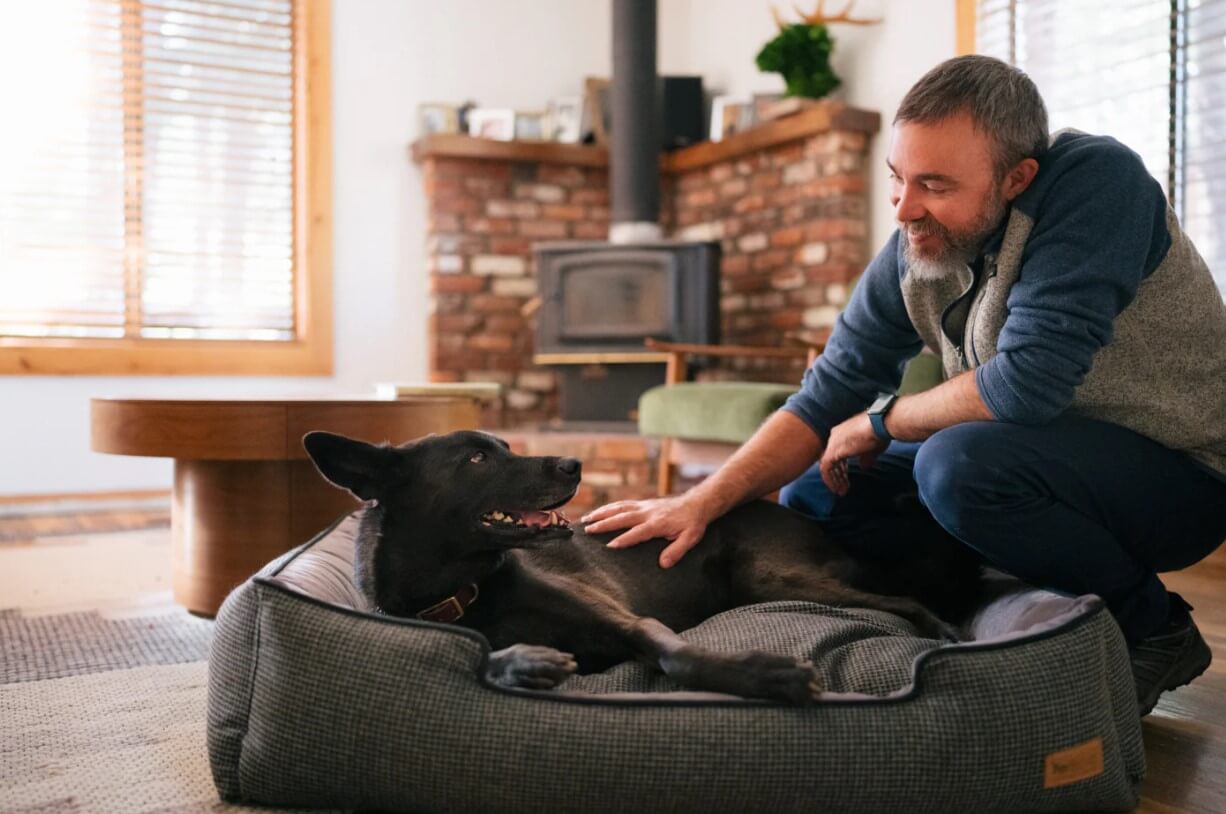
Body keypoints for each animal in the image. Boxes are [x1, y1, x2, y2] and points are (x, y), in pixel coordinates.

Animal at [301, 429, 980, 701]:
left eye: (503, 445)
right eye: (475, 458)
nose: (574, 464)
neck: (465, 587)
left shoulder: (626, 621)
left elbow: (676, 654)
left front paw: (766, 676)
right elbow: (483, 657)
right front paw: (522, 661)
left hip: (774, 575)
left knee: (905, 604)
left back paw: (948, 634)